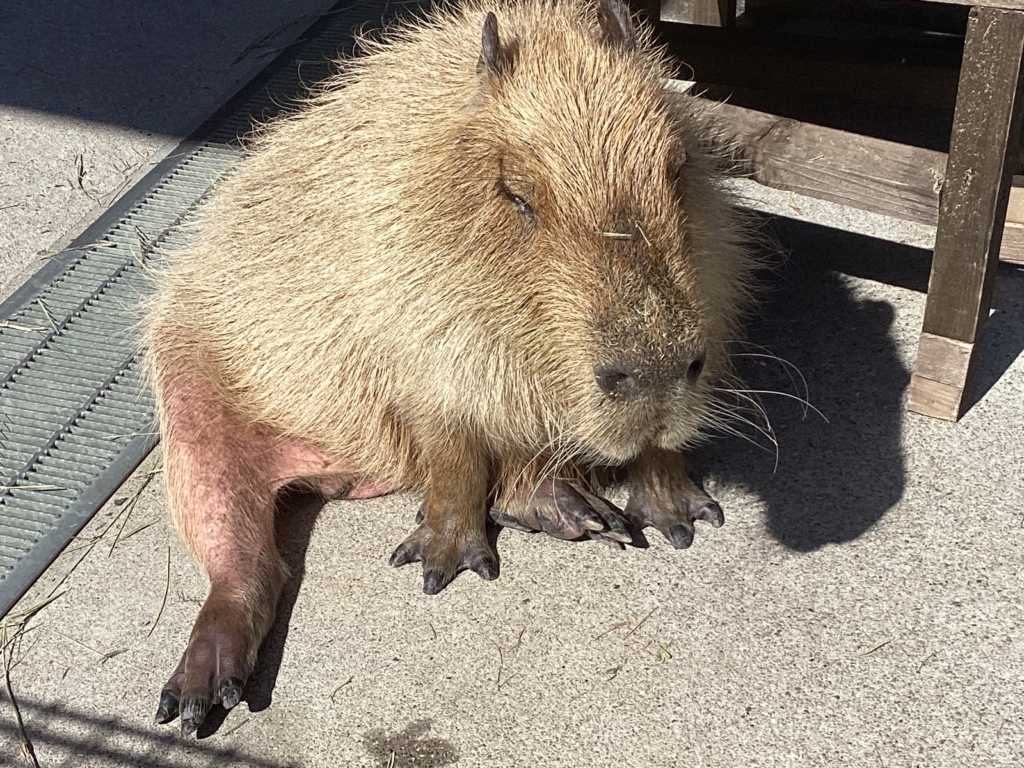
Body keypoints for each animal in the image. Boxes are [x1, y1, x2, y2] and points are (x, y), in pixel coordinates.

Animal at [145, 0, 755, 735]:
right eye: (515, 194)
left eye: (677, 166)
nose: (655, 377)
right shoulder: (409, 323)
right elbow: (451, 441)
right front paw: (441, 558)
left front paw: (679, 510)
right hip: (189, 404)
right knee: (246, 565)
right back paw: (200, 690)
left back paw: (575, 511)